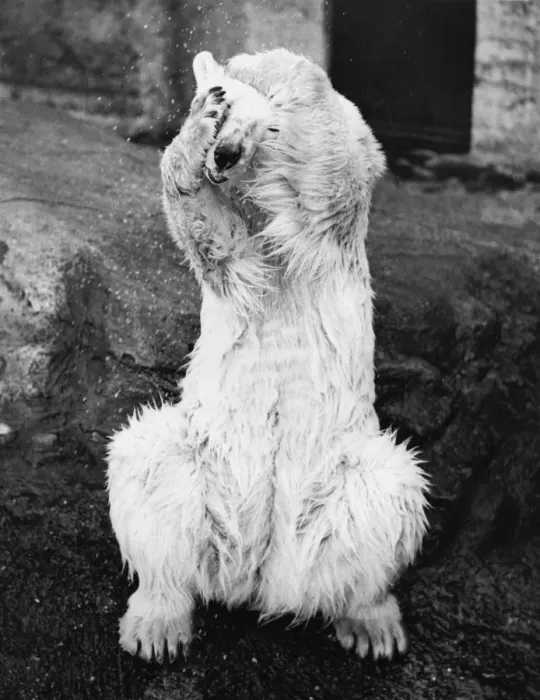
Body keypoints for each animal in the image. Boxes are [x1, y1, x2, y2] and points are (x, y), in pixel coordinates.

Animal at [107, 48, 429, 664]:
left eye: (253, 129)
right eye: (217, 127)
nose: (223, 156)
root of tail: (258, 577)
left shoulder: (339, 192)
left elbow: (331, 176)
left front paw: (288, 80)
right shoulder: (244, 251)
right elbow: (220, 245)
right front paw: (195, 130)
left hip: (341, 472)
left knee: (389, 490)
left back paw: (371, 622)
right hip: (202, 457)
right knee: (146, 462)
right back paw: (157, 622)